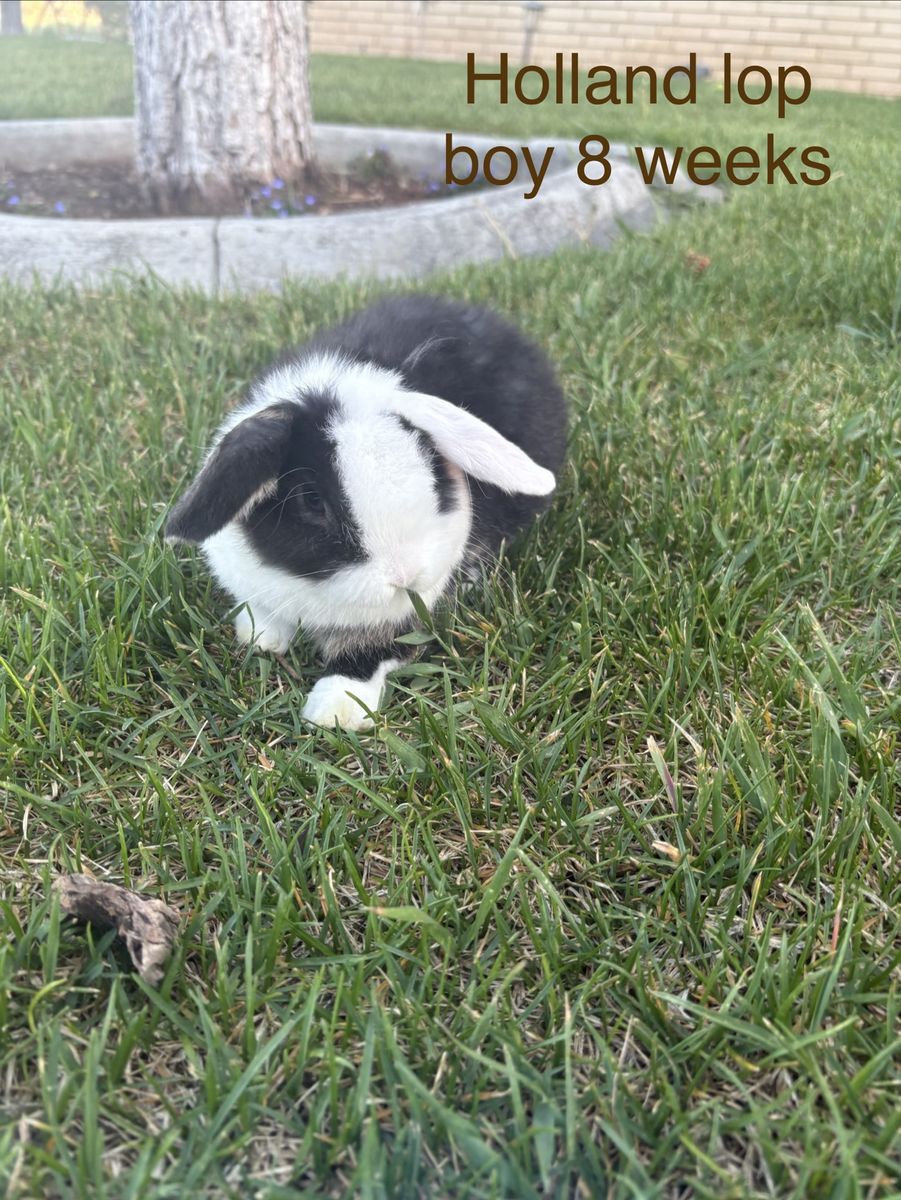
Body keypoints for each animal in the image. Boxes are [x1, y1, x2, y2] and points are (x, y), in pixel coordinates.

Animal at [165, 294, 567, 731]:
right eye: (312, 500)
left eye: (433, 471)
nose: (405, 576)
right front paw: (260, 636)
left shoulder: (404, 617)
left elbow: (372, 651)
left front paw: (334, 711)